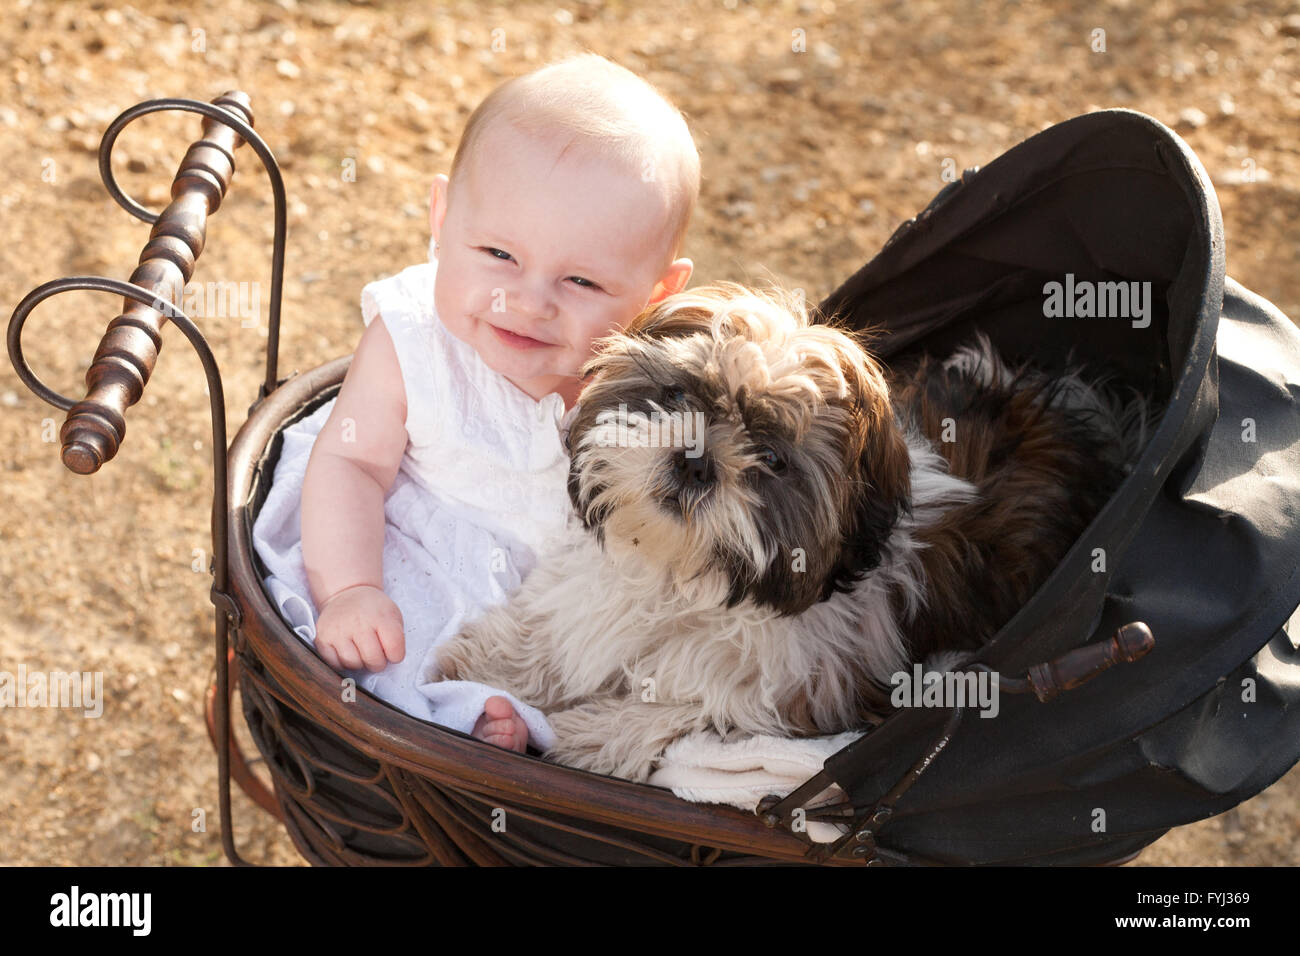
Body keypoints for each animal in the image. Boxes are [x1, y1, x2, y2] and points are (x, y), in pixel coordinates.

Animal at [431, 280, 1154, 780]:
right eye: (680, 396)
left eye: (774, 460)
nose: (695, 460)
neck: (684, 577)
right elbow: (556, 628)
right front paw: (490, 666)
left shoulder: (813, 690)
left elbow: (698, 705)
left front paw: (591, 734)